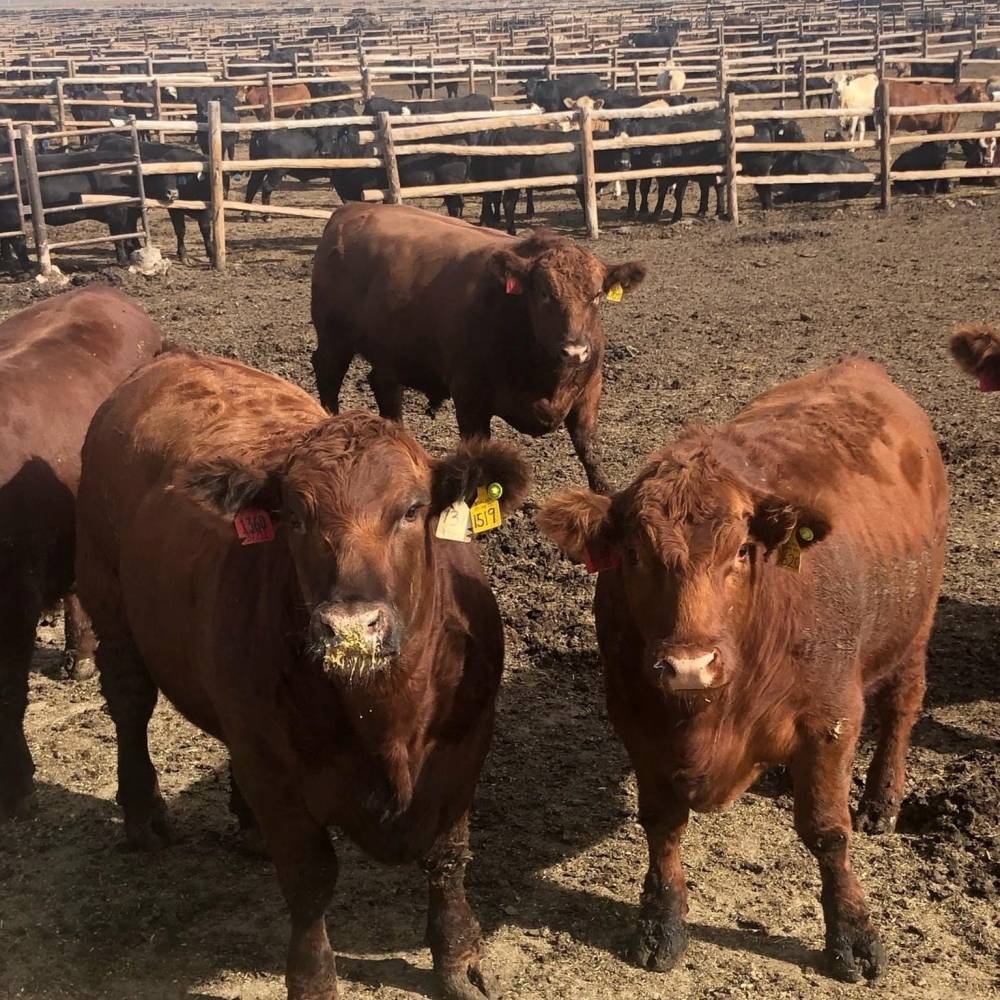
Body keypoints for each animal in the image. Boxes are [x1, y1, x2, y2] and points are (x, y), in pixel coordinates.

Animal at [75, 346, 529, 1000]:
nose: (350, 625)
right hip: (106, 595)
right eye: (293, 515)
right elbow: (310, 882)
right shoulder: (279, 777)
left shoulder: (464, 749)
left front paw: (458, 959)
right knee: (130, 702)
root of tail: (173, 359)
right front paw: (313, 980)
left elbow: (448, 858)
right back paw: (144, 816)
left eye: (412, 509)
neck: (386, 715)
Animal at [311, 203, 646, 494]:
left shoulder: (590, 391)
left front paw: (605, 493)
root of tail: (349, 209)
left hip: (389, 355)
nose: (575, 351)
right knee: (328, 375)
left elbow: (588, 448)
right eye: (543, 294)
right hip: (334, 339)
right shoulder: (470, 397)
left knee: (385, 389)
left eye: (598, 295)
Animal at [537, 358, 949, 984]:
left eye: (740, 551)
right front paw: (661, 924)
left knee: (902, 706)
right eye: (634, 554)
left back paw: (882, 801)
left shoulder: (831, 720)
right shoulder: (635, 720)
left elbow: (828, 832)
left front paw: (854, 933)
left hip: (914, 625)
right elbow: (662, 823)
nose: (688, 666)